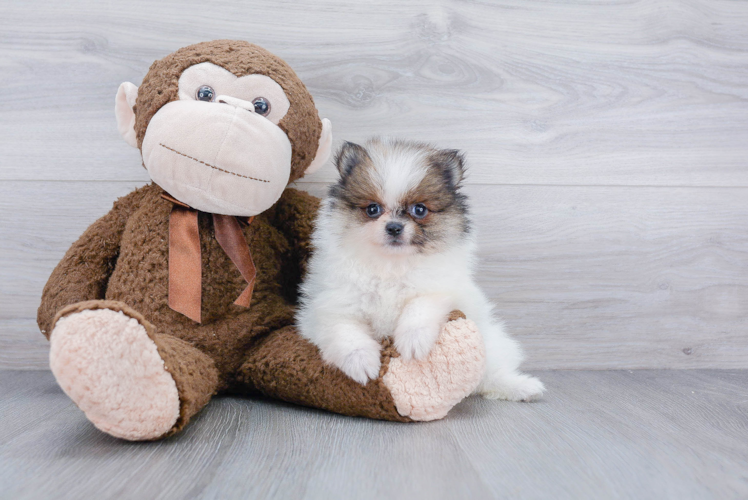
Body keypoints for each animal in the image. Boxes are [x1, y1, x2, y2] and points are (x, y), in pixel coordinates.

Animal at [296, 138, 544, 402]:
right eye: (372, 209)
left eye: (420, 210)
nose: (394, 227)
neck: (391, 266)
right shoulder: (333, 306)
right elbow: (345, 332)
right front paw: (362, 362)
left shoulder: (443, 288)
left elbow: (420, 305)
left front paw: (413, 341)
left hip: (491, 342)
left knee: (490, 374)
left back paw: (522, 387)